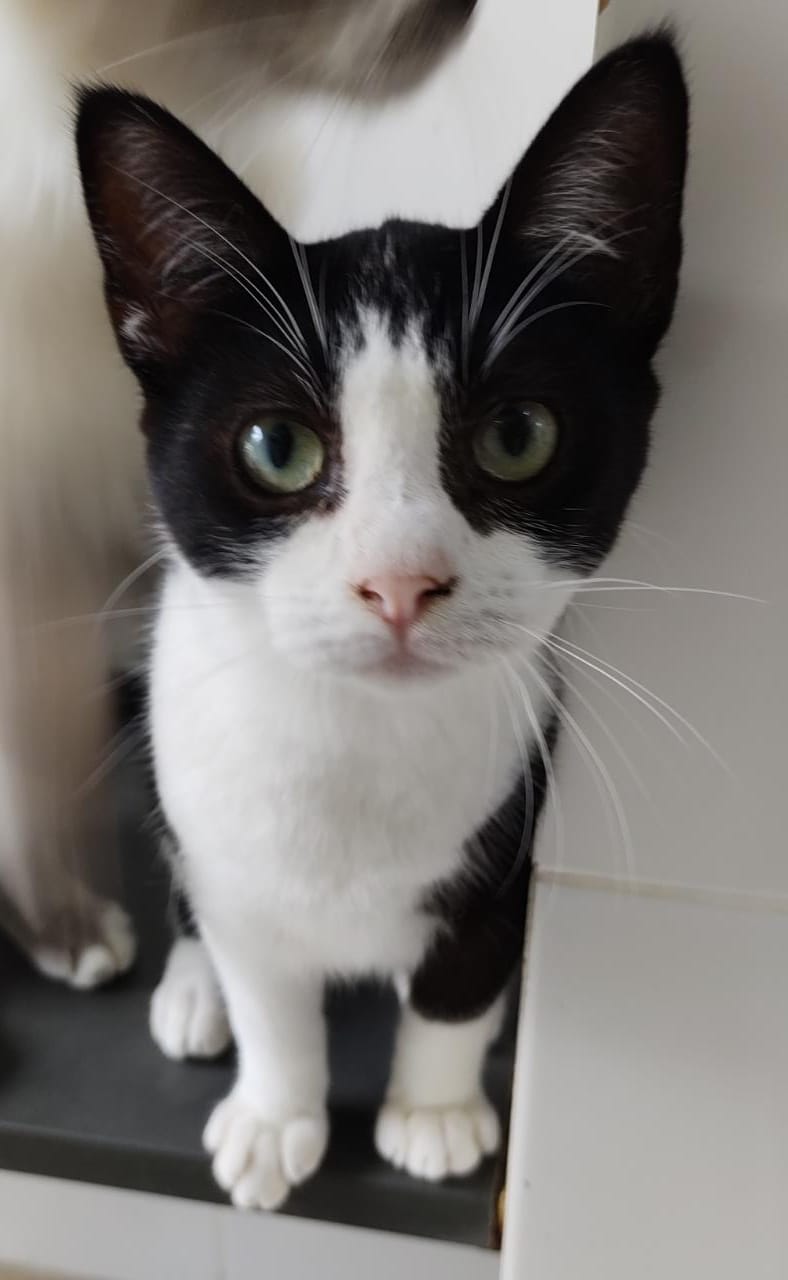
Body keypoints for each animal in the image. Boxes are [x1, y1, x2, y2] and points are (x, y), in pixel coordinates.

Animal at [77, 32, 685, 1208]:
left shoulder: (512, 830)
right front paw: (274, 1117)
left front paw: (433, 1109)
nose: (400, 583)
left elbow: (465, 971)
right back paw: (191, 988)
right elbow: (265, 982)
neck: (360, 740)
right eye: (276, 447)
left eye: (517, 434)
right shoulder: (226, 842)